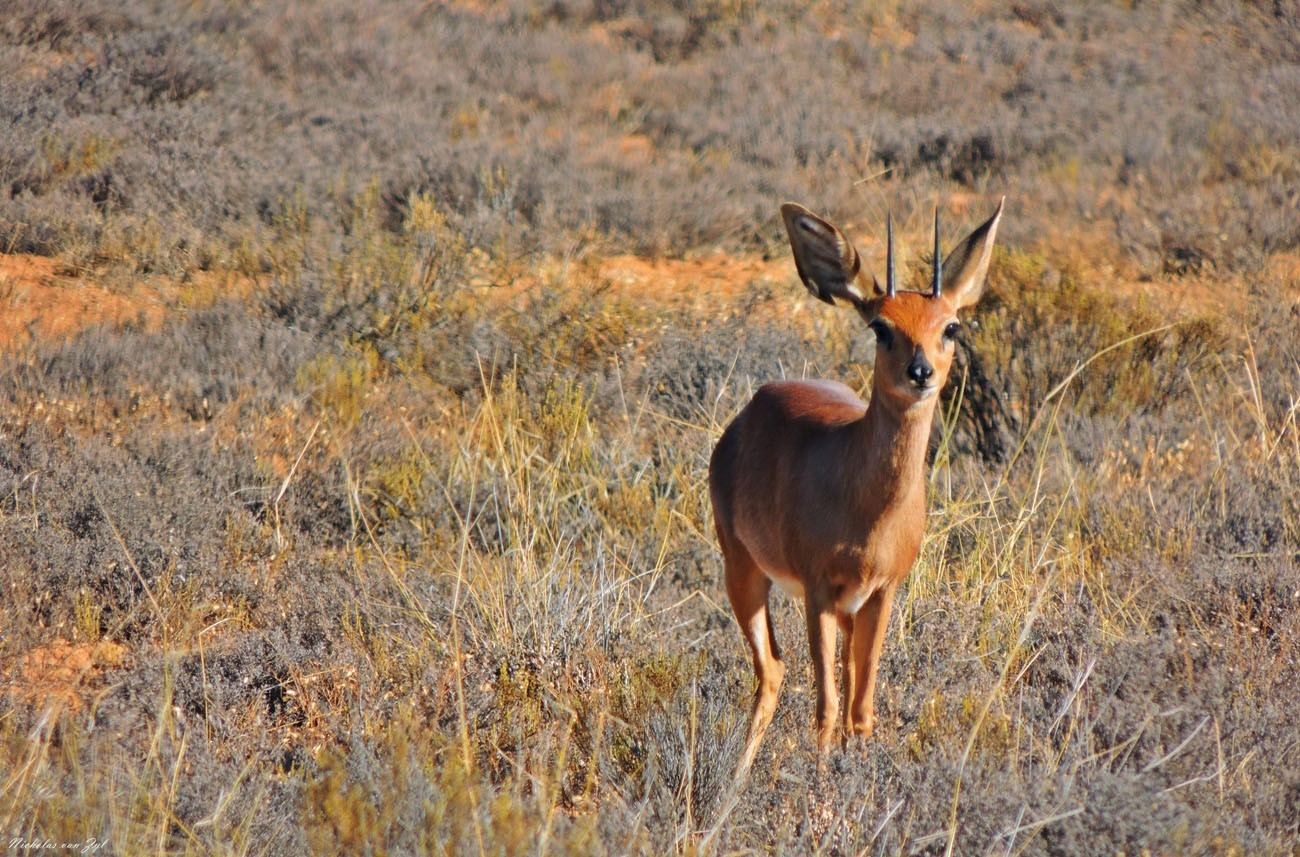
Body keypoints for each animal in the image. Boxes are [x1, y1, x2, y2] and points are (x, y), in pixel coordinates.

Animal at [712, 198, 1003, 769]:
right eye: (880, 328)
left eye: (951, 327)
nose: (920, 372)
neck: (866, 508)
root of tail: (750, 410)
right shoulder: (819, 592)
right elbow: (825, 712)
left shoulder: (881, 593)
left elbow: (861, 710)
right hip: (745, 572)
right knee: (772, 671)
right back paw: (734, 780)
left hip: (843, 609)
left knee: (832, 680)